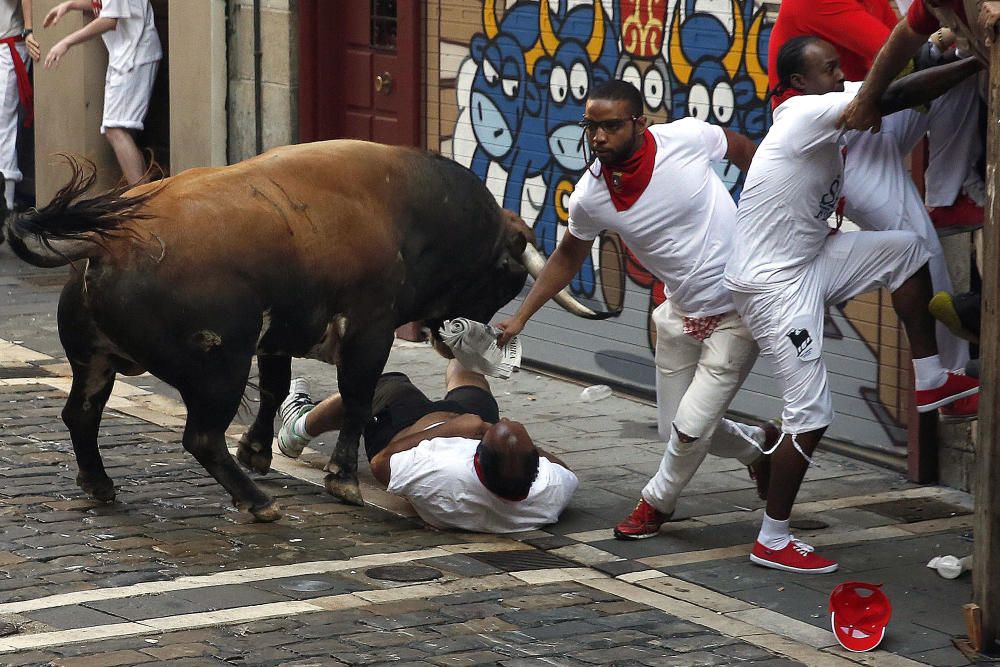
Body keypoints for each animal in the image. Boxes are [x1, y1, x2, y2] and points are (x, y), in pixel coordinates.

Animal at [1, 141, 608, 520]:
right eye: (504, 275)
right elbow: (358, 399)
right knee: (200, 437)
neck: (403, 209)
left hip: (96, 360)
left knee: (81, 415)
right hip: (219, 368)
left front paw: (258, 451)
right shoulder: (369, 330)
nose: (460, 335)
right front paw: (342, 478)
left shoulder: (278, 337)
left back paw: (100, 484)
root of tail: (107, 245)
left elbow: (273, 389)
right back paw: (257, 503)